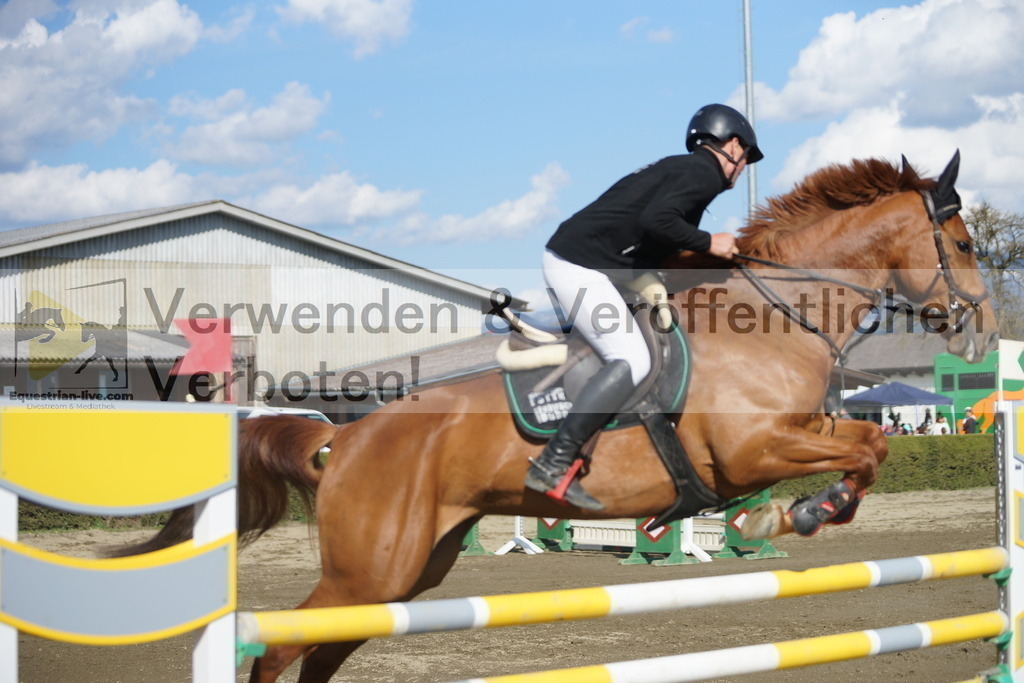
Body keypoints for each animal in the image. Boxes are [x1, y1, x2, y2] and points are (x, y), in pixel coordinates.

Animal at [121, 154, 999, 683]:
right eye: (960, 241)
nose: (986, 329)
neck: (780, 315)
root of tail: (347, 434)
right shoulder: (755, 448)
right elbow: (869, 445)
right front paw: (793, 514)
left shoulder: (788, 440)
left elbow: (870, 444)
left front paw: (793, 515)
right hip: (368, 570)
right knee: (281, 647)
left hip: (404, 571)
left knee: (319, 652)